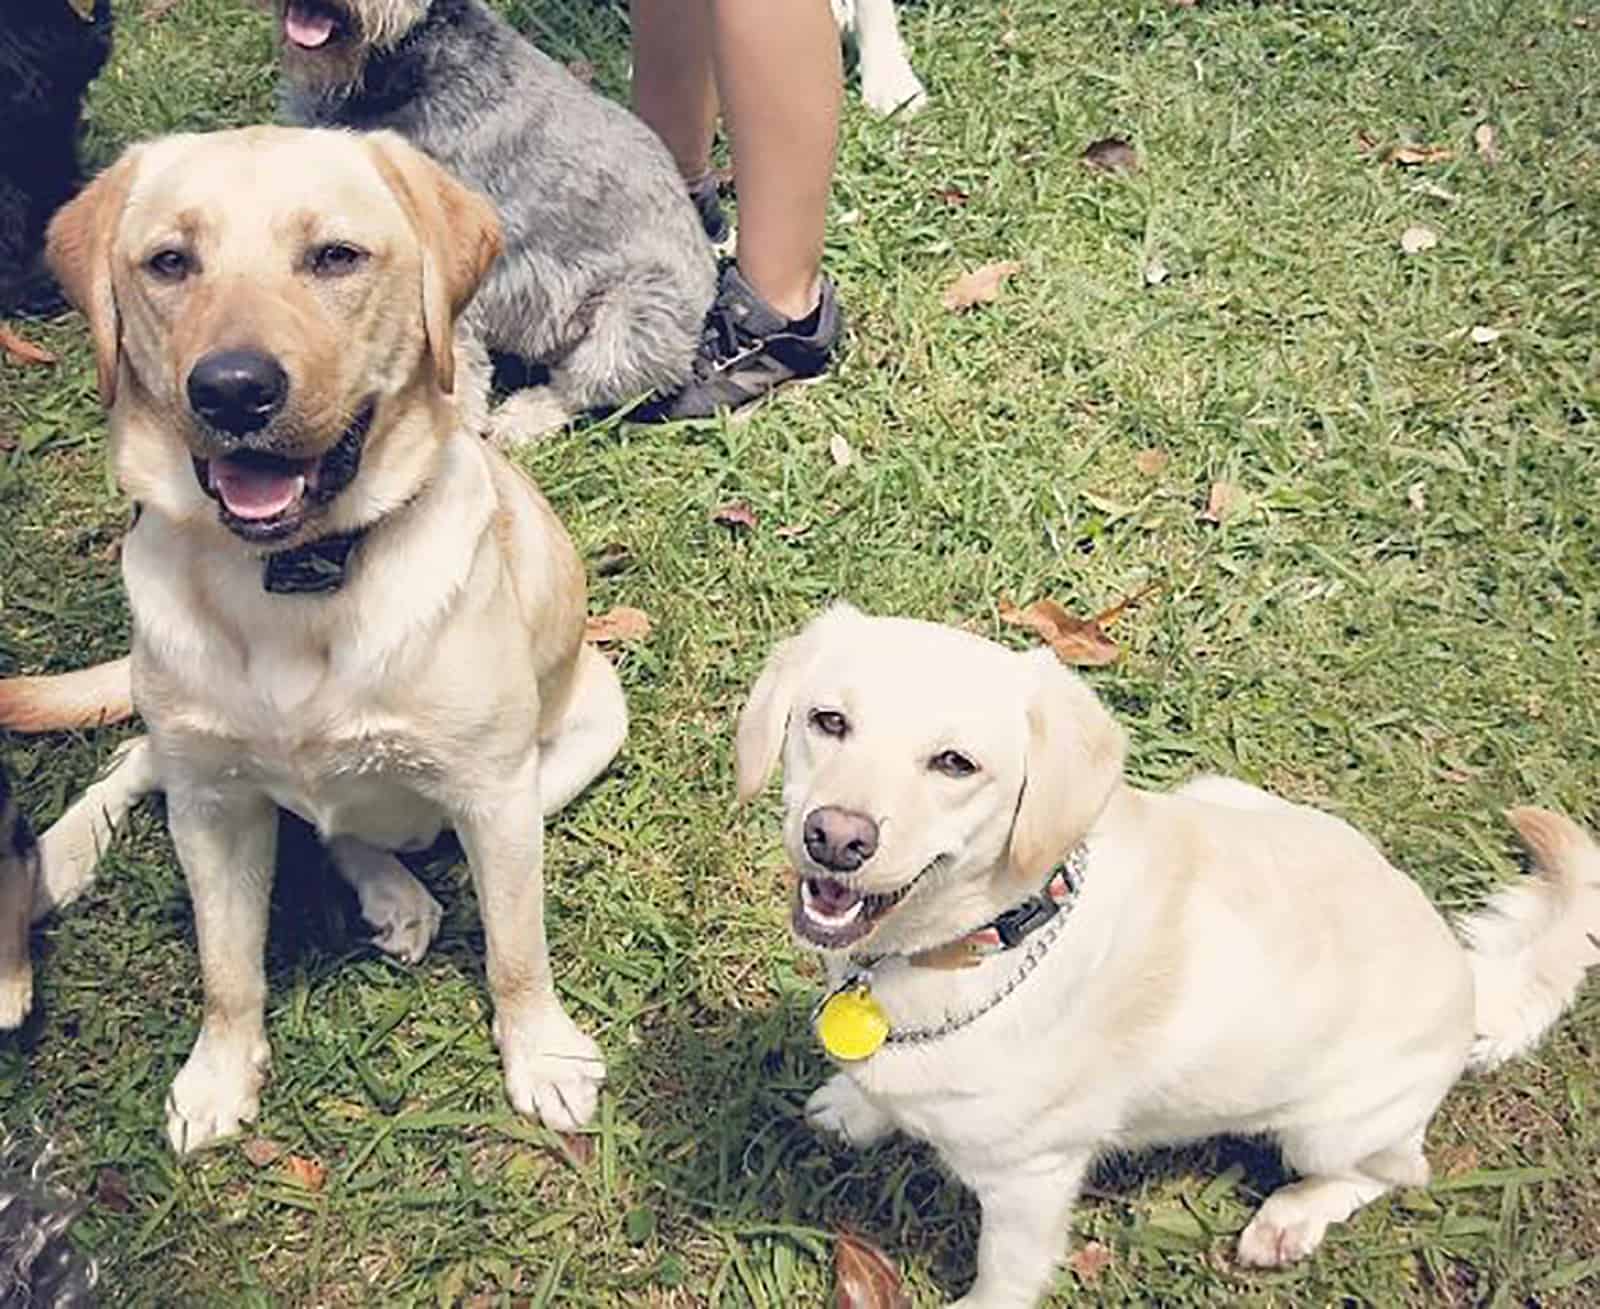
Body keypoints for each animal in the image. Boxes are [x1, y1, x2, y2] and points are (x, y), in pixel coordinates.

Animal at [7, 124, 630, 1152]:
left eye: (335, 257)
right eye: (169, 263)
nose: (232, 389)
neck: (293, 579)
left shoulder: (496, 795)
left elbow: (515, 947)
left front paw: (541, 1052)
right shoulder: (211, 807)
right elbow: (226, 970)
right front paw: (218, 1073)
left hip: (587, 727)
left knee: (378, 833)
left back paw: (397, 891)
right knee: (142, 760)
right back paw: (58, 857)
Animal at [736, 604, 1600, 1305]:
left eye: (956, 763)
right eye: (828, 720)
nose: (835, 837)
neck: (976, 945)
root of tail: (1467, 972)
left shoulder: (1031, 1182)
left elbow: (1005, 1276)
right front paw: (855, 1107)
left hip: (1330, 1127)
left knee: (1392, 1172)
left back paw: (1292, 1216)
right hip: (1224, 789)